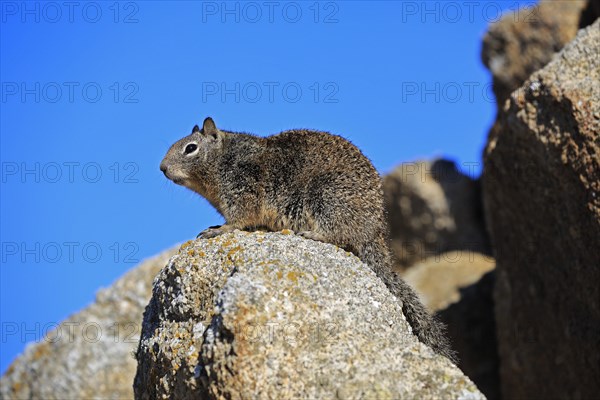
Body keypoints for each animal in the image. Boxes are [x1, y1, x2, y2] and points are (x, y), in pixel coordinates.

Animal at [159, 117, 454, 360]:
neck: (222, 160)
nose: (162, 168)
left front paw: (219, 229)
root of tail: (375, 232)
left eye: (190, 148)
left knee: (339, 236)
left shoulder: (243, 189)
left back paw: (312, 233)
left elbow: (239, 219)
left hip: (324, 196)